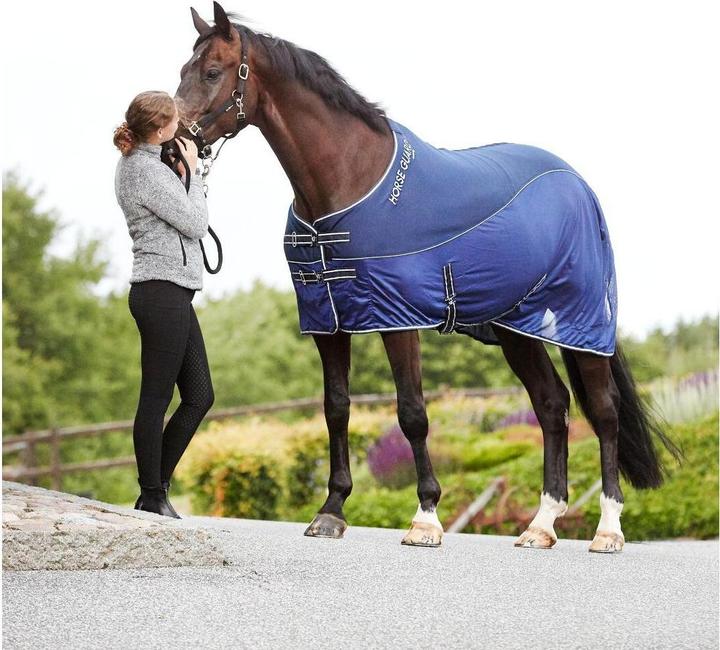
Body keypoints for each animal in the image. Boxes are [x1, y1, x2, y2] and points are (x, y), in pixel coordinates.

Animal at [175, 2, 679, 552]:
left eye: (213, 72)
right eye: (183, 71)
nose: (176, 140)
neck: (350, 179)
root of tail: (579, 185)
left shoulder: (398, 318)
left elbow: (412, 413)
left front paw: (425, 518)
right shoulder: (328, 320)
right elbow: (336, 408)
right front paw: (331, 511)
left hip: (582, 323)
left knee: (605, 413)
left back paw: (608, 529)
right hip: (516, 330)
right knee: (551, 405)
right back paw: (541, 525)